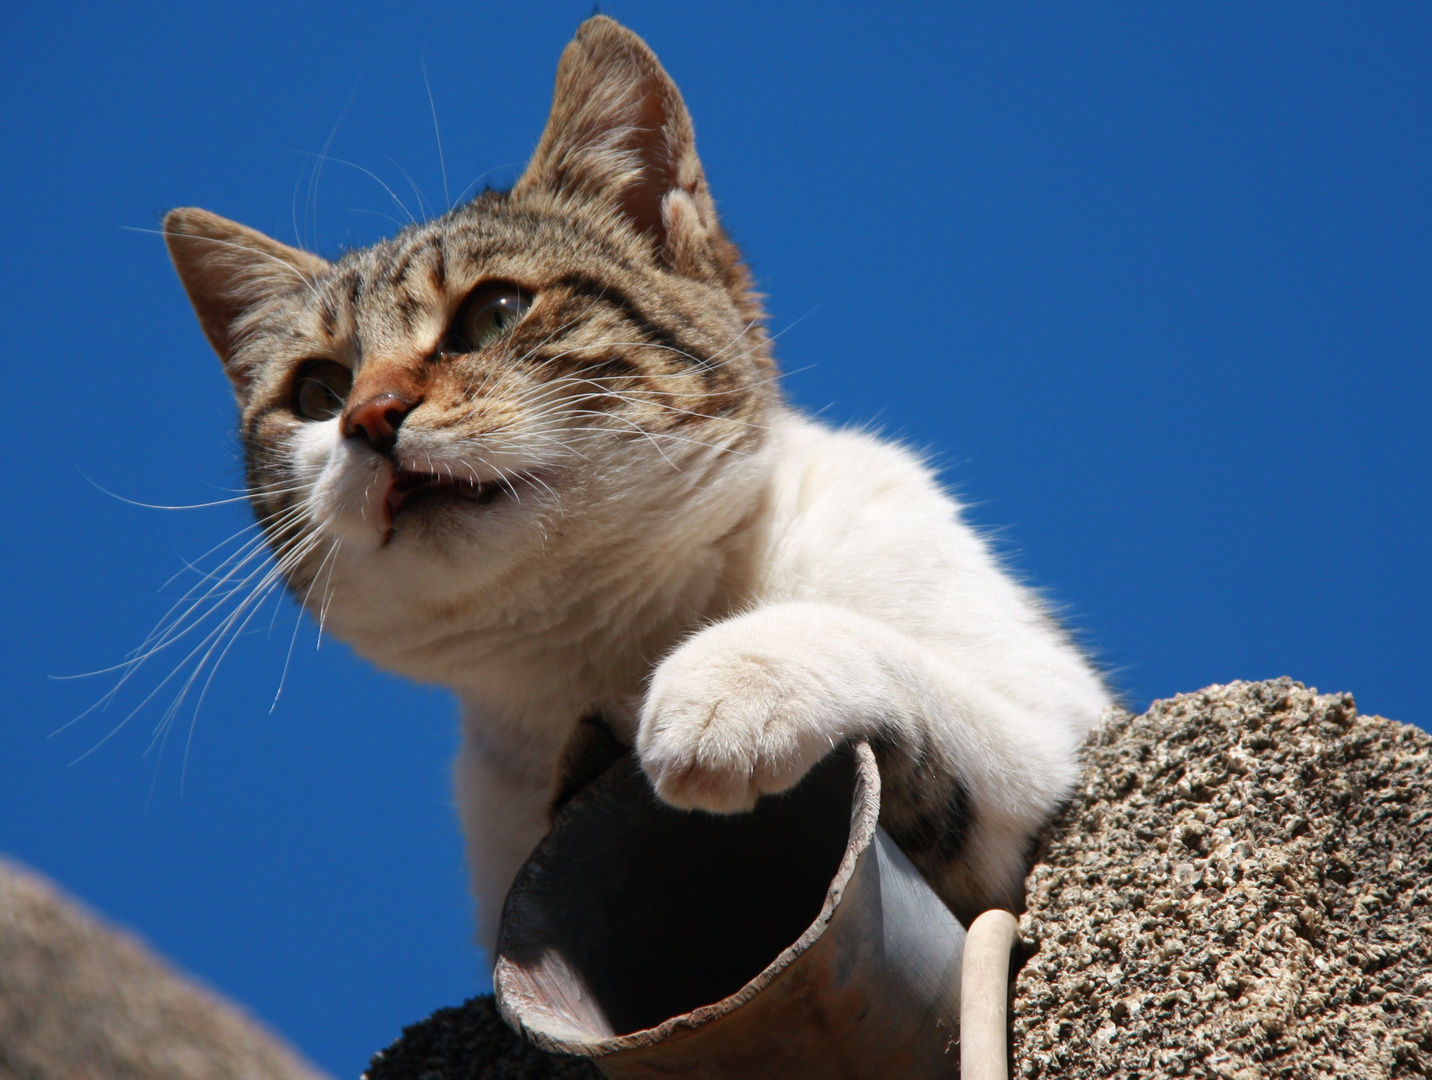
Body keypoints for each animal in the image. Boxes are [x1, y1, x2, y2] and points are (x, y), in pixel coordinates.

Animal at [162, 12, 1111, 945]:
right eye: (318, 393)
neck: (607, 638)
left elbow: (904, 671)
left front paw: (725, 680)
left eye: (493, 314)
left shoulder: (1055, 727)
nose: (368, 416)